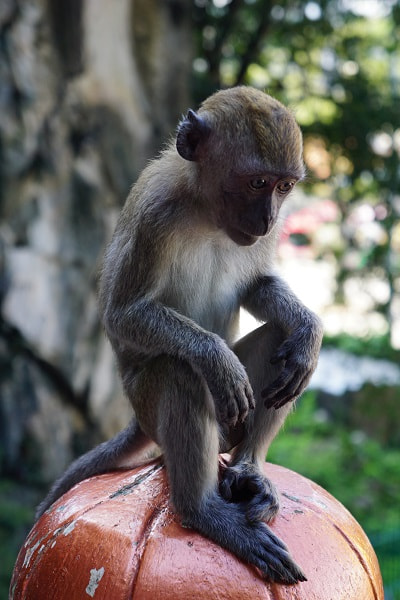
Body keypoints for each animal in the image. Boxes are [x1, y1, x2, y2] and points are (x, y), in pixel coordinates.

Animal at [36, 88, 324, 584]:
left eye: (284, 186)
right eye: (257, 183)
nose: (269, 219)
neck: (206, 211)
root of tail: (137, 419)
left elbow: (258, 287)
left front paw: (308, 328)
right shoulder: (155, 215)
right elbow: (123, 314)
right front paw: (216, 358)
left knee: (277, 346)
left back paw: (249, 469)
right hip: (149, 404)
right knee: (179, 372)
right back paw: (202, 509)